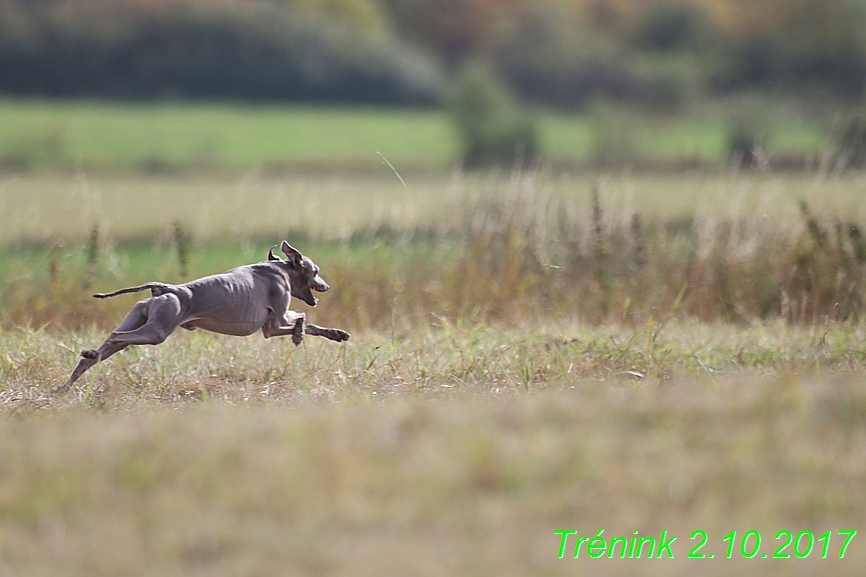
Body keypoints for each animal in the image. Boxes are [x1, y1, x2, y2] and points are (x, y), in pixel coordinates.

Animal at [54, 241, 348, 394]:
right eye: (316, 270)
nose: (326, 286)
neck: (282, 269)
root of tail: (165, 288)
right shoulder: (275, 323)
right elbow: (302, 316)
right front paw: (298, 336)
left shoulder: (272, 326)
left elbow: (309, 321)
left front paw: (337, 334)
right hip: (155, 332)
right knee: (116, 336)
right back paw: (89, 355)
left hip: (142, 320)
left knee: (96, 355)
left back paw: (67, 383)